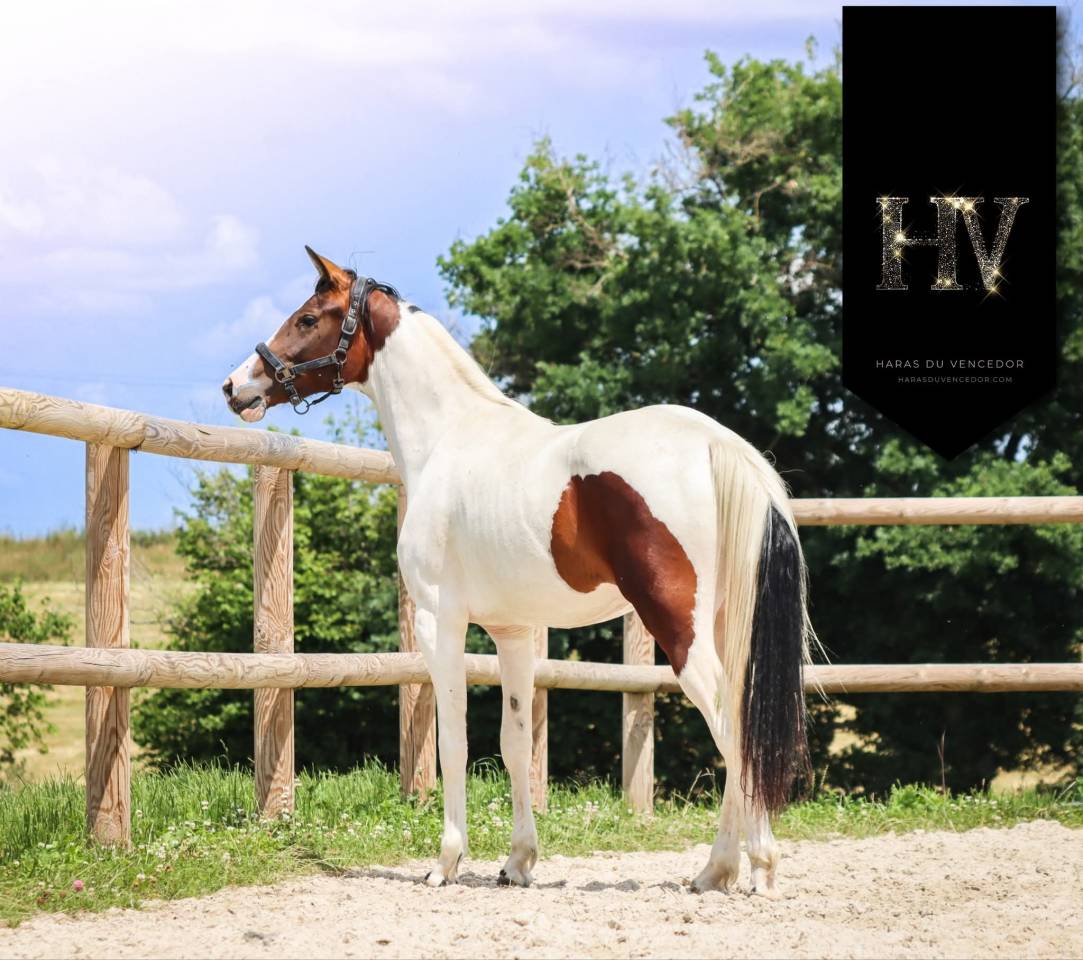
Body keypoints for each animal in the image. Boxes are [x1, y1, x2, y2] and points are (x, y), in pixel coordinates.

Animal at [222, 247, 813, 896]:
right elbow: (514, 742)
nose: (235, 385)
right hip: (729, 624)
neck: (448, 440)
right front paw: (518, 861)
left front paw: (446, 862)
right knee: (739, 725)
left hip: (680, 629)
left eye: (307, 318)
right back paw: (716, 871)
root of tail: (717, 445)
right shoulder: (511, 633)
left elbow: (454, 741)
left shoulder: (440, 622)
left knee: (733, 731)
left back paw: (754, 865)